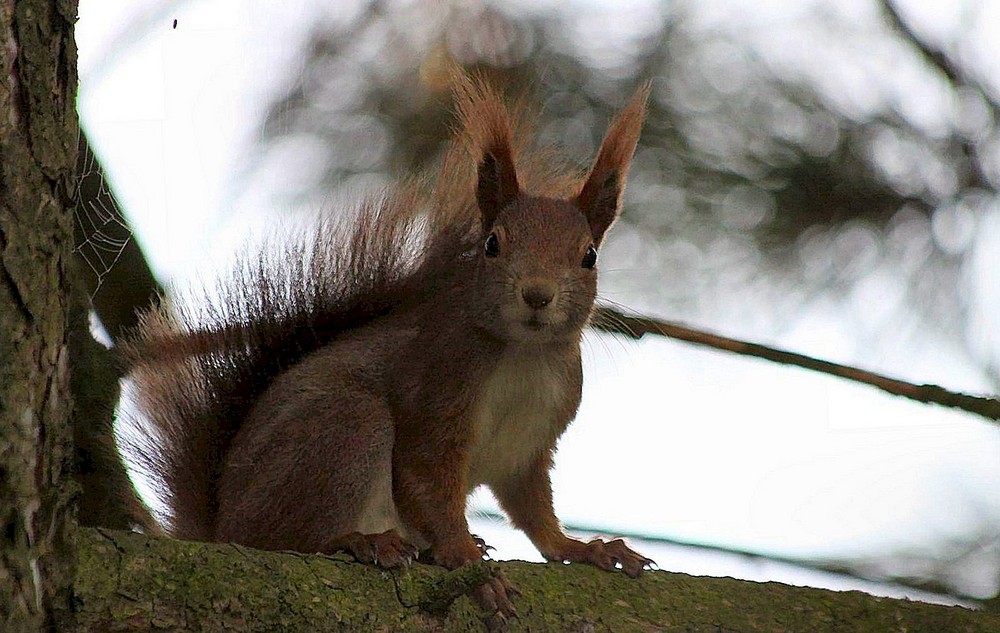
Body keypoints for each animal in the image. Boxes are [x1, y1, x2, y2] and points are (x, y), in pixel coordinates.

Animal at [121, 73, 652, 616]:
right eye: (493, 244)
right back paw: (359, 541)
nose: (538, 295)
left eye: (589, 256)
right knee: (287, 536)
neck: (523, 353)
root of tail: (222, 527)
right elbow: (425, 481)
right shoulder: (437, 388)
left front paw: (582, 548)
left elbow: (532, 508)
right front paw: (466, 558)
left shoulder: (532, 442)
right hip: (343, 428)